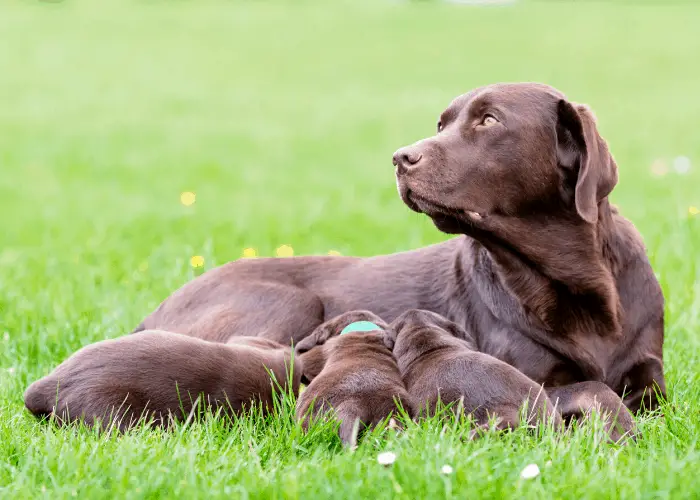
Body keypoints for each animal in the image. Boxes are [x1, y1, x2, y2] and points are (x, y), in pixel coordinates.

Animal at [134, 84, 664, 416]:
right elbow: (595, 389)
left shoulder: (651, 374)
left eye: (488, 120)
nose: (400, 157)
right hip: (289, 302)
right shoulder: (534, 378)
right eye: (442, 123)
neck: (579, 290)